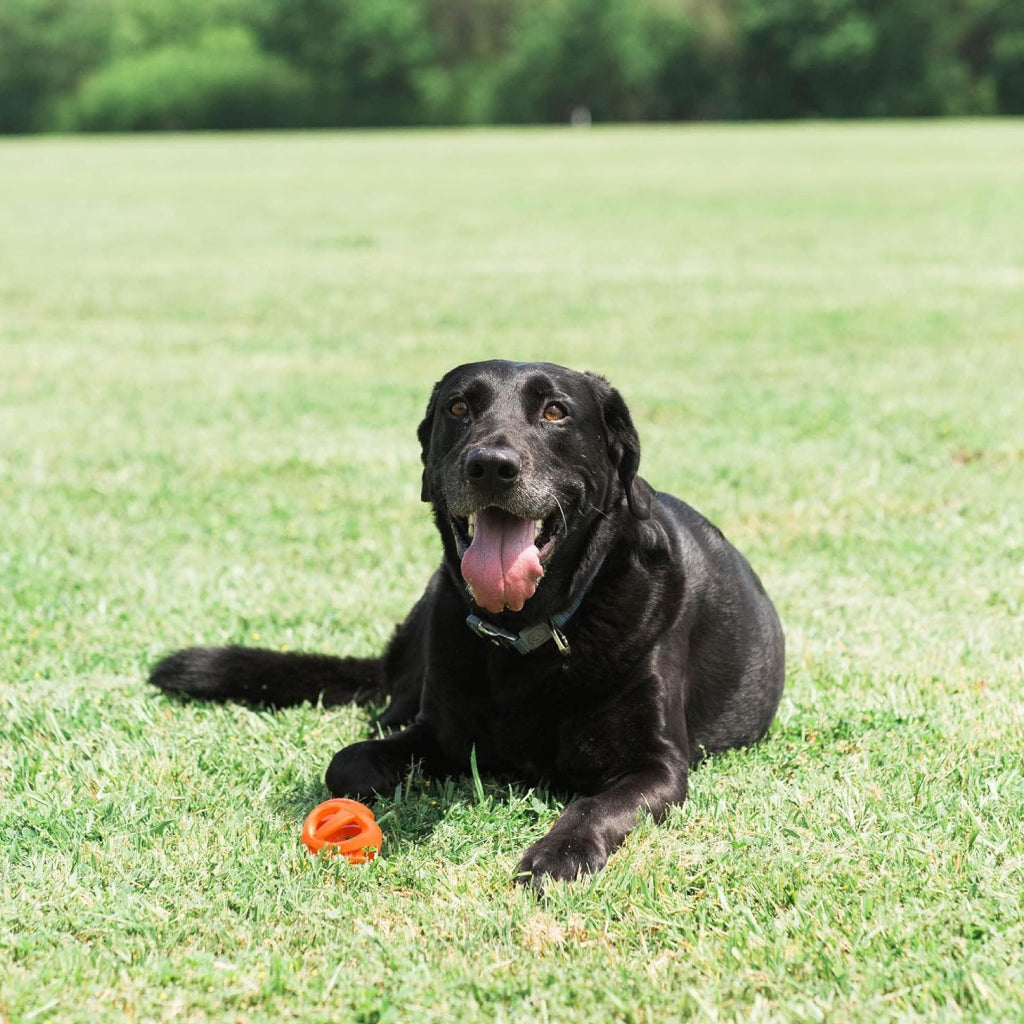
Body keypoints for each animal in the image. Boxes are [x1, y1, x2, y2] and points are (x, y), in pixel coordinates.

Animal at [149, 362, 782, 888]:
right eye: (458, 407)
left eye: (556, 411)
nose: (491, 467)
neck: (527, 637)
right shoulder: (441, 729)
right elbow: (347, 761)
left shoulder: (657, 766)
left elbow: (595, 805)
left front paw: (559, 853)